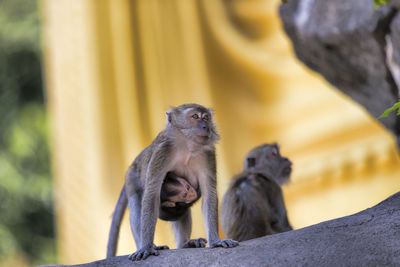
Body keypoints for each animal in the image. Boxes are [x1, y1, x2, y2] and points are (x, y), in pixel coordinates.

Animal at [106, 104, 238, 262]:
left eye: (206, 117)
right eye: (195, 116)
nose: (205, 126)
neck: (188, 147)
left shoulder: (208, 154)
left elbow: (209, 193)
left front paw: (216, 241)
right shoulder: (162, 152)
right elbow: (152, 193)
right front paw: (146, 247)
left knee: (182, 210)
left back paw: (185, 244)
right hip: (132, 179)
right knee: (137, 204)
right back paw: (146, 245)